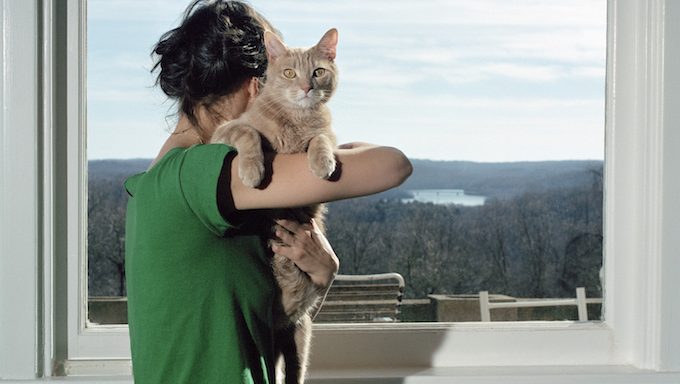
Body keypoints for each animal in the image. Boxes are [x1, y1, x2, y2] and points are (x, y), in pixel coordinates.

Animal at [211, 27, 338, 384]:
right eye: (289, 73)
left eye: (318, 72)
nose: (306, 88)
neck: (295, 119)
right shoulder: (223, 132)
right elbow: (249, 132)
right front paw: (253, 170)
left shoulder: (330, 136)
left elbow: (321, 138)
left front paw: (323, 162)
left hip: (300, 341)